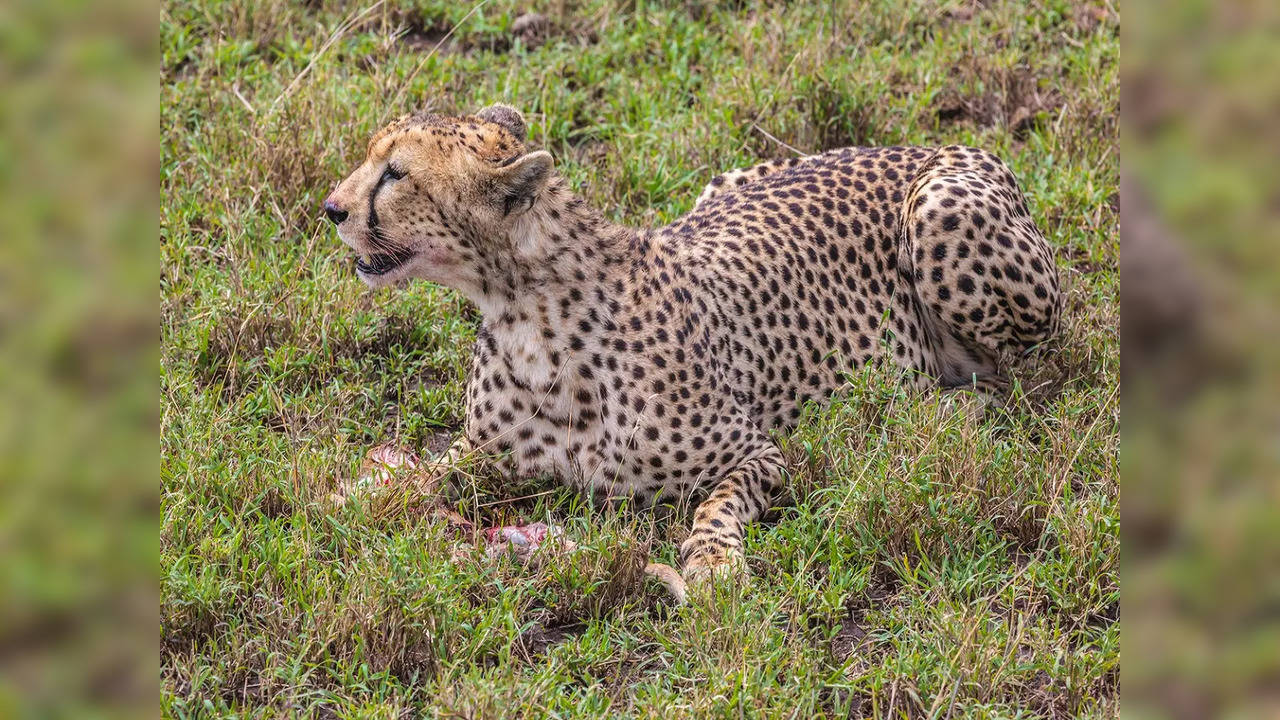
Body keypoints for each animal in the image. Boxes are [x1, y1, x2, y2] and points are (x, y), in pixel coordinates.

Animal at [322, 105, 1059, 589]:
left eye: (395, 174)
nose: (330, 208)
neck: (524, 313)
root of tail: (927, 144)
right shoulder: (485, 451)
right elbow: (425, 471)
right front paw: (351, 492)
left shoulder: (758, 451)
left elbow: (717, 503)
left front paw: (711, 560)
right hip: (723, 181)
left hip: (942, 214)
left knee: (1025, 376)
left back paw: (941, 408)